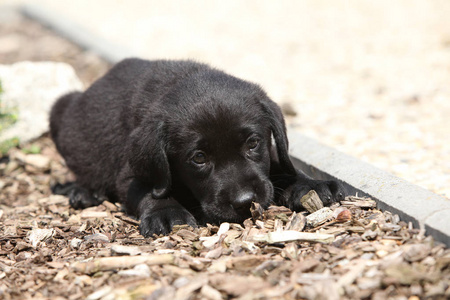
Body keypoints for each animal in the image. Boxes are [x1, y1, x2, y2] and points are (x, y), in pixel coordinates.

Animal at [49, 59, 344, 237]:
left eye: (253, 143)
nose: (245, 201)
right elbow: (150, 191)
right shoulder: (130, 174)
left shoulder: (270, 156)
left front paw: (311, 185)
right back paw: (82, 191)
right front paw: (167, 213)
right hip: (59, 108)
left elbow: (282, 166)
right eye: (199, 158)